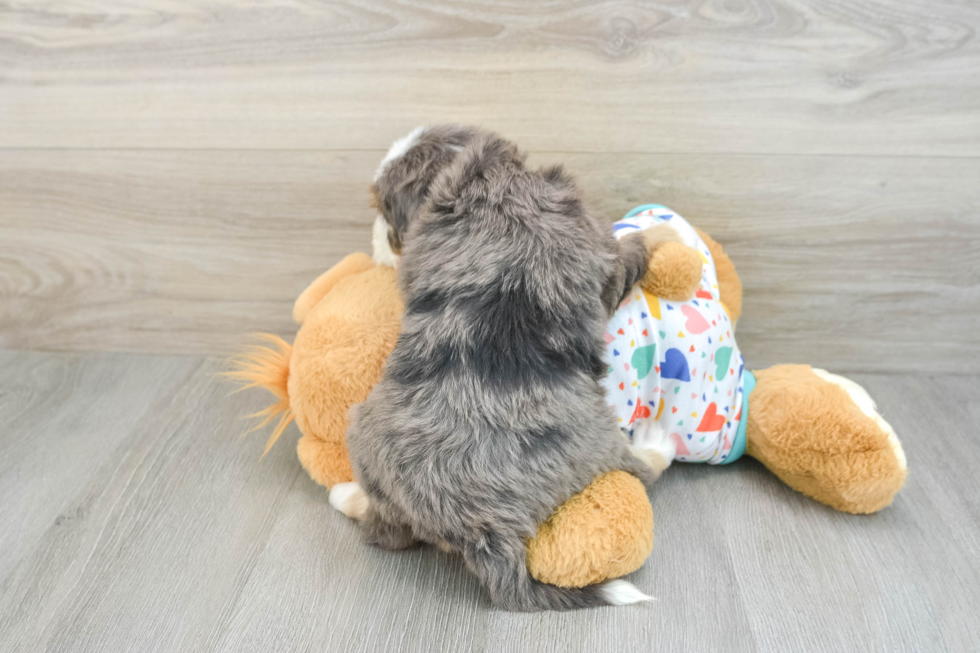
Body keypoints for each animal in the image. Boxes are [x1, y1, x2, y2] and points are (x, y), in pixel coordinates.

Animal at [340, 125, 668, 608]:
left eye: (384, 211)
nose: (375, 241)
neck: (487, 179)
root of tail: (481, 531)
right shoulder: (598, 254)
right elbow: (628, 251)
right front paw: (659, 231)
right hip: (601, 446)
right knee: (645, 471)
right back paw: (656, 444)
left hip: (367, 440)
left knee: (388, 531)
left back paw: (347, 496)